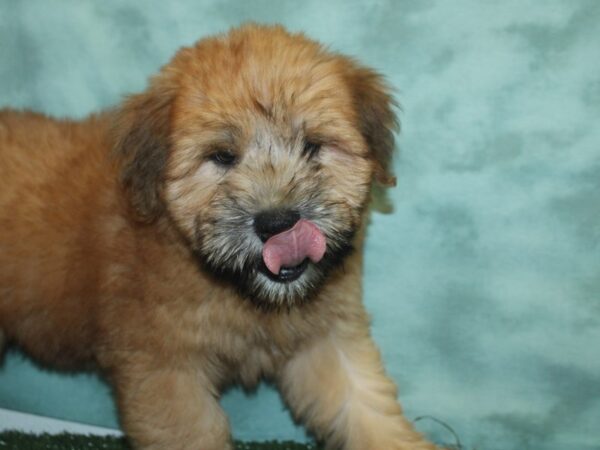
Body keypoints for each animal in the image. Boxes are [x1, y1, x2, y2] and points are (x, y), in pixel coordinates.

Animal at [0, 25, 440, 450]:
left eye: (312, 147)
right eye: (223, 157)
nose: (278, 223)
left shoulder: (325, 339)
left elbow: (365, 406)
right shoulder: (165, 370)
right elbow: (192, 433)